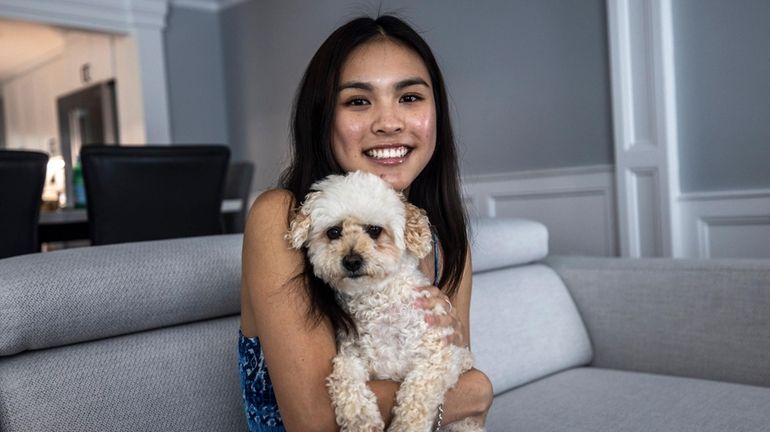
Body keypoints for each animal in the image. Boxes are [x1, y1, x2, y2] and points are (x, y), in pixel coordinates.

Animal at [286, 171, 480, 432]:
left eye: (374, 230)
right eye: (334, 232)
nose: (352, 261)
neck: (378, 301)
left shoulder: (441, 355)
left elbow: (418, 394)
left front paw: (406, 425)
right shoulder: (352, 355)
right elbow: (344, 375)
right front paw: (361, 418)